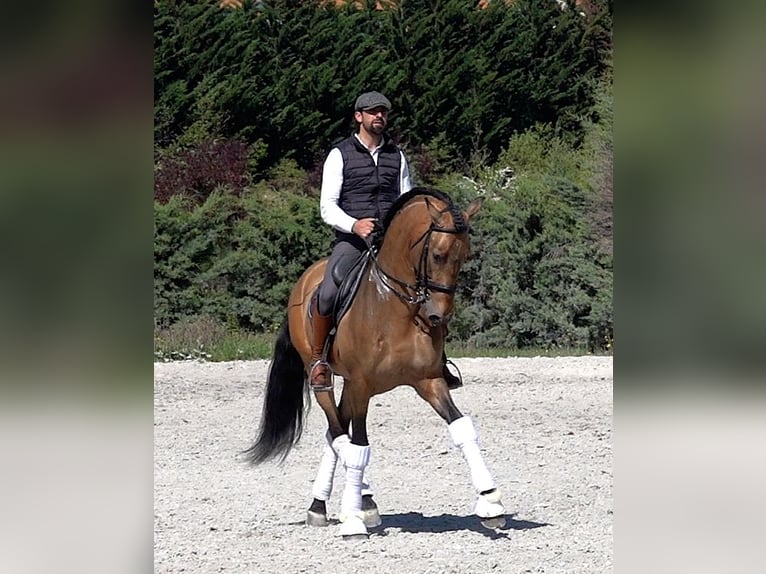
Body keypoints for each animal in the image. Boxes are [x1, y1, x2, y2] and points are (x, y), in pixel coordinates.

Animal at [244, 187, 505, 538]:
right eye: (437, 254)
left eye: (465, 256)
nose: (438, 317)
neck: (396, 306)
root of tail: (305, 279)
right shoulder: (362, 383)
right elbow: (358, 445)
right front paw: (352, 518)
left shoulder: (429, 382)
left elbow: (462, 427)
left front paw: (491, 502)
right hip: (327, 377)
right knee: (339, 430)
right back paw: (336, 504)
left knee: (336, 431)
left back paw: (347, 502)